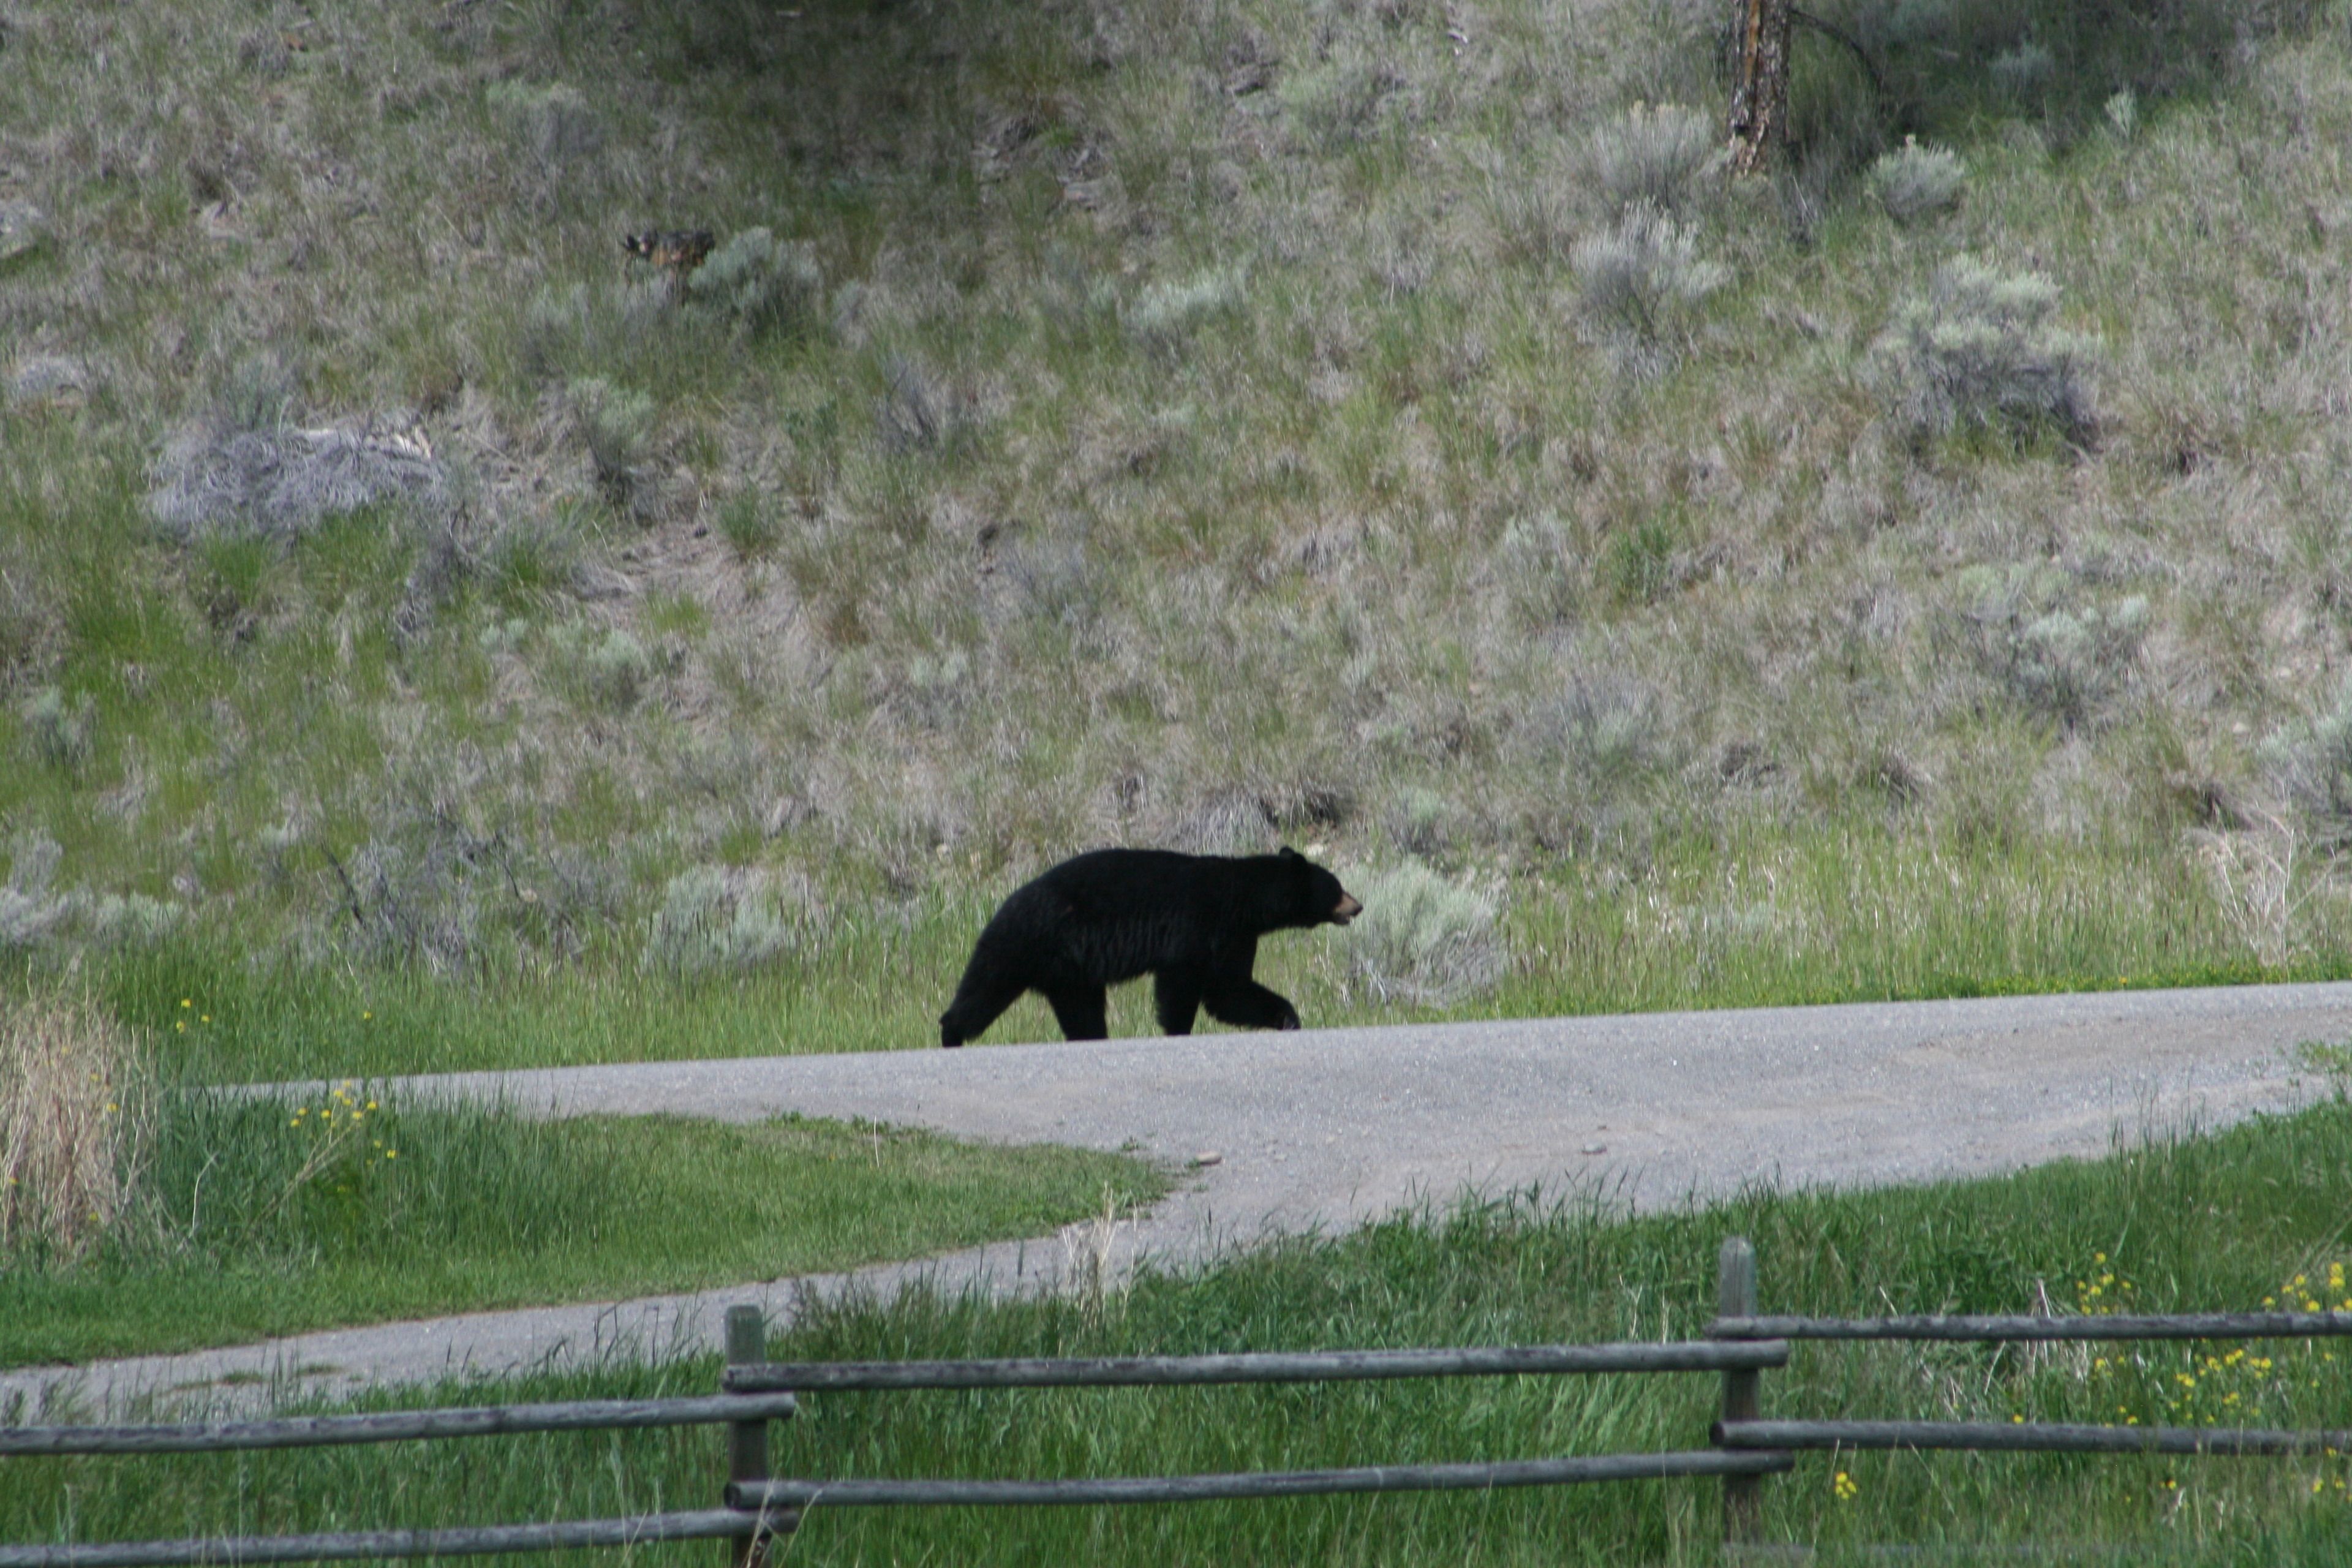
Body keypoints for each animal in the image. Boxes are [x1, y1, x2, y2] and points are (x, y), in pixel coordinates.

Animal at [938, 846, 1363, 1047]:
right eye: (1337, 887)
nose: (1357, 906)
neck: (1241, 898)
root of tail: (1005, 903)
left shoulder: (1236, 936)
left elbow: (1229, 989)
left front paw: (1287, 1017)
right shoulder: (1196, 925)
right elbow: (1185, 985)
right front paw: (1178, 1030)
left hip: (1070, 973)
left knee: (1081, 1010)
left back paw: (1092, 1037)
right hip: (1022, 943)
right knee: (984, 989)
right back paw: (950, 1034)